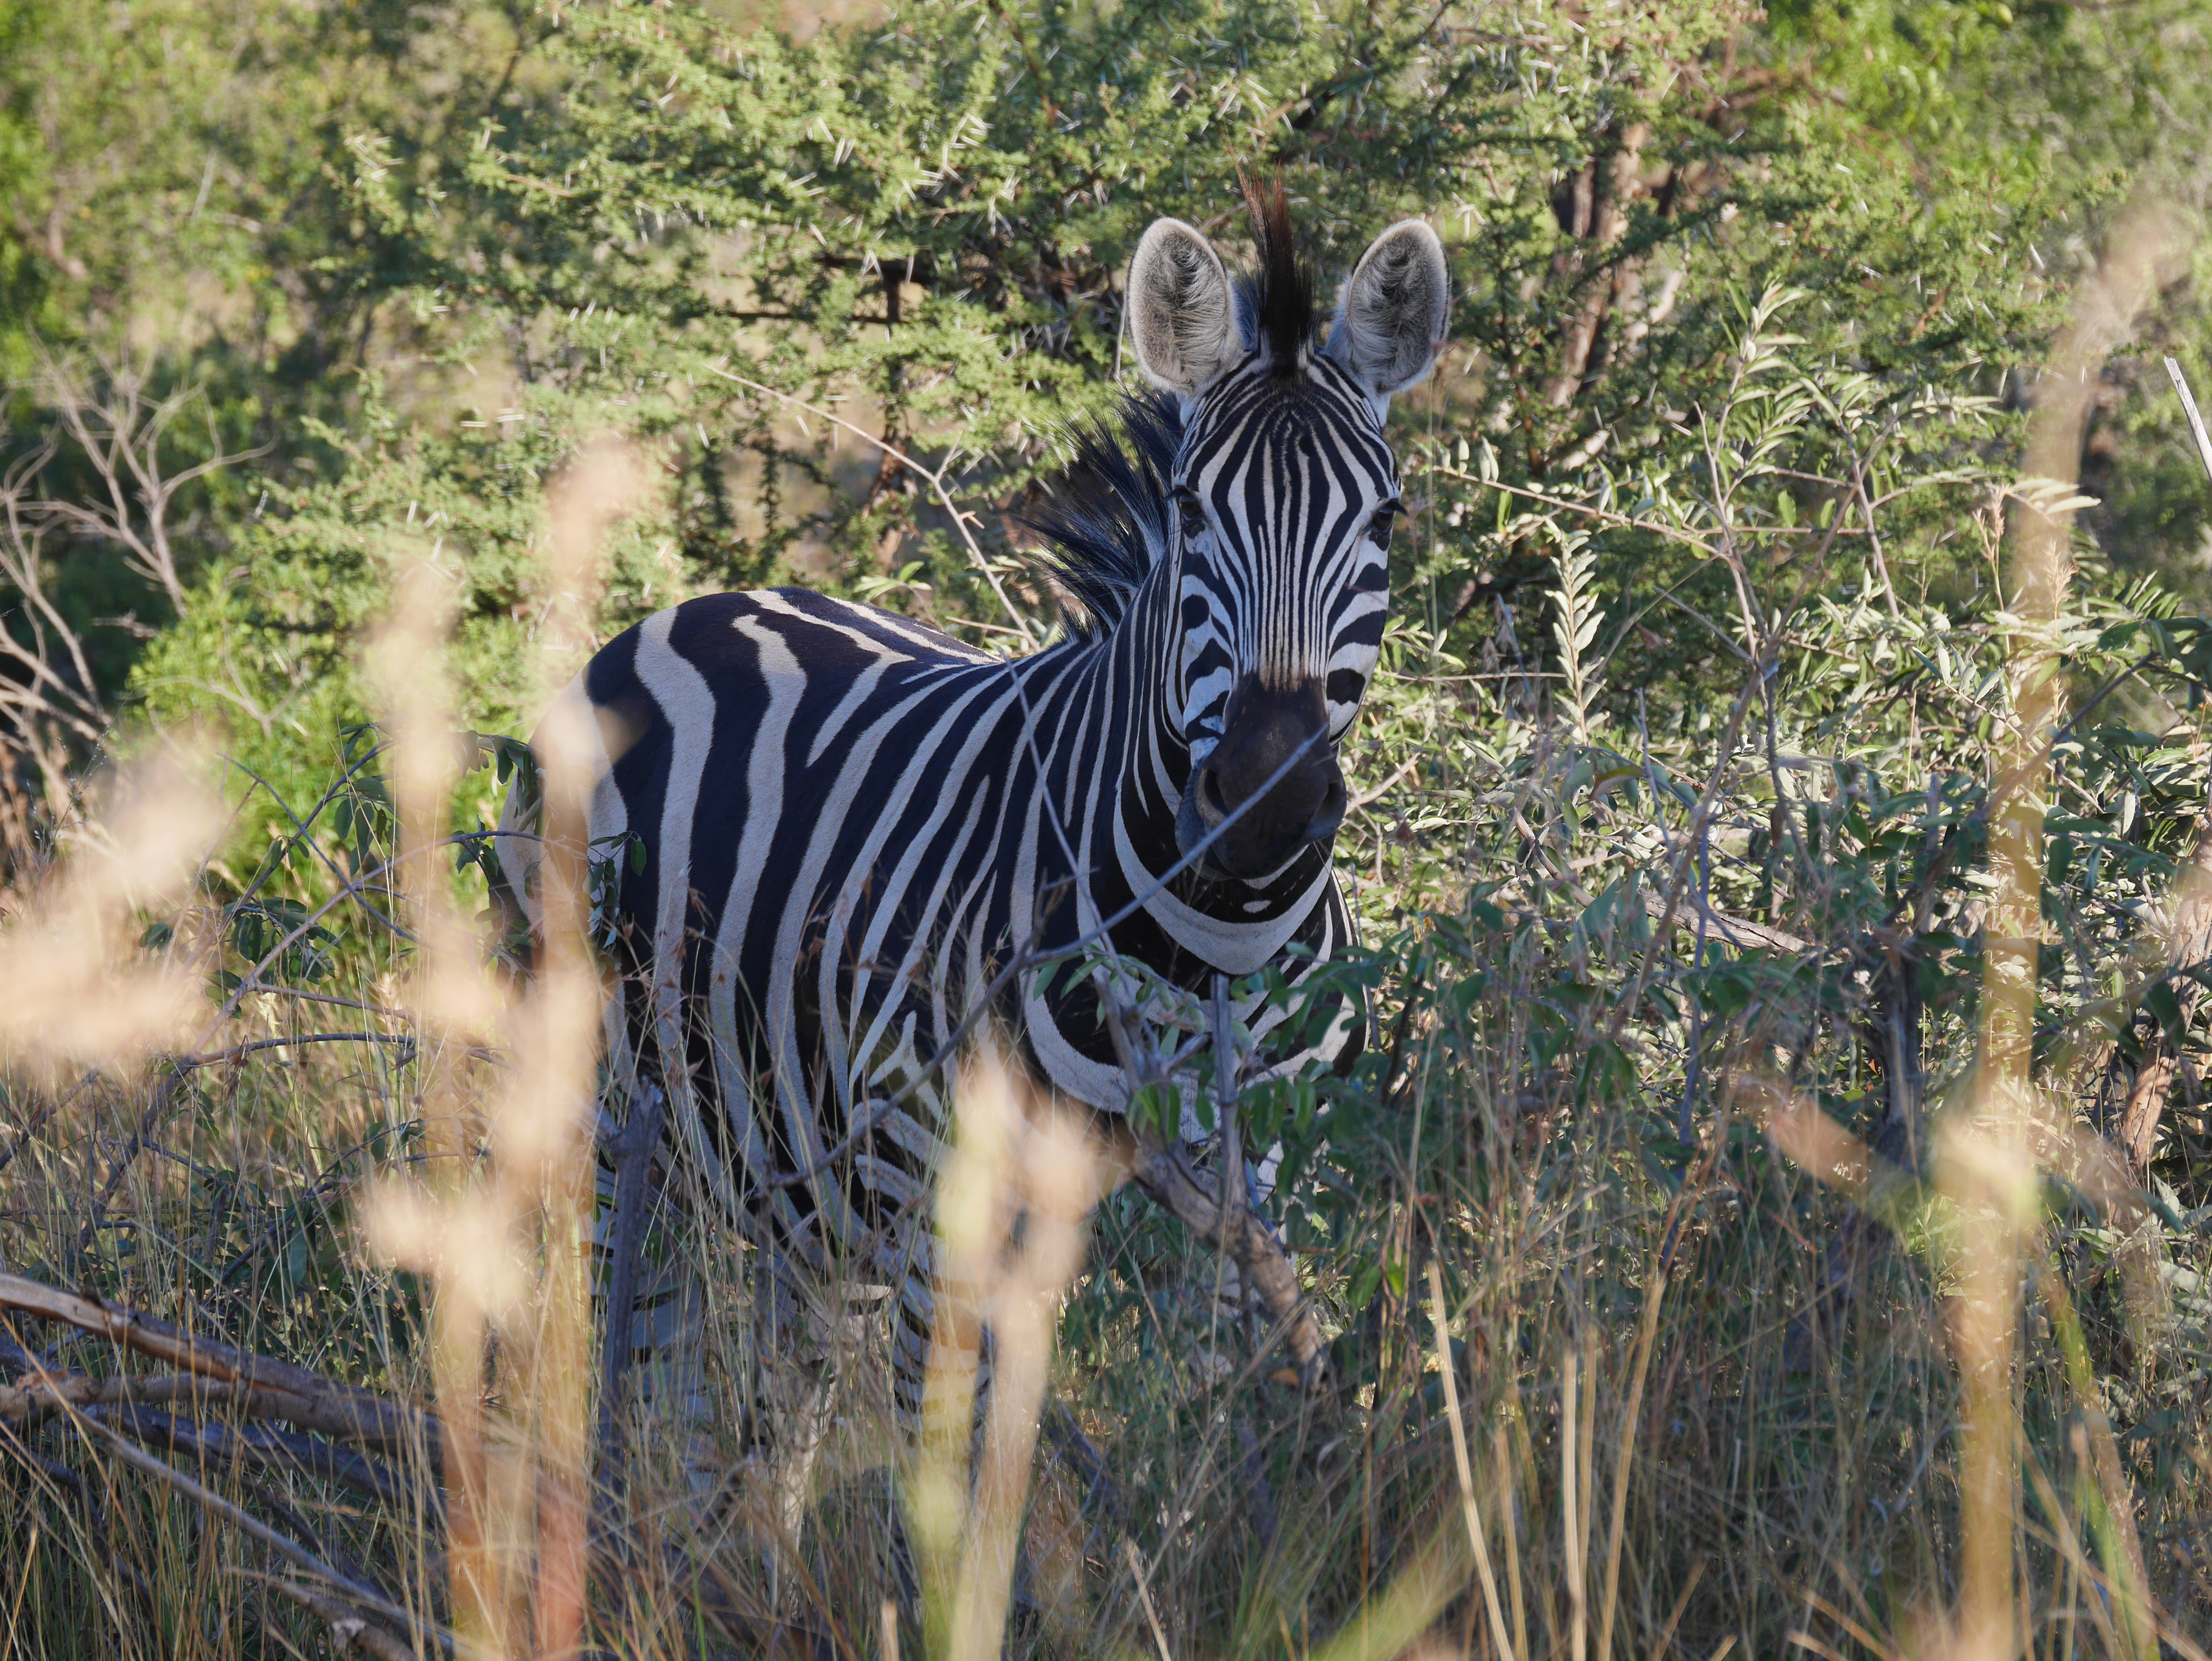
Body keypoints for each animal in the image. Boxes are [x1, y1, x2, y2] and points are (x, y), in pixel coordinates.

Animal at [496, 188, 1449, 1460]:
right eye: (1192, 508)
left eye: (1384, 516)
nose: (1267, 797)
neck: (1212, 949)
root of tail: (697, 607)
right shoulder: (952, 1184)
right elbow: (947, 1464)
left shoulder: (1261, 1185)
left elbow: (1227, 1444)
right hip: (624, 1111)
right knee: (641, 1373)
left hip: (812, 1174)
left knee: (767, 1417)